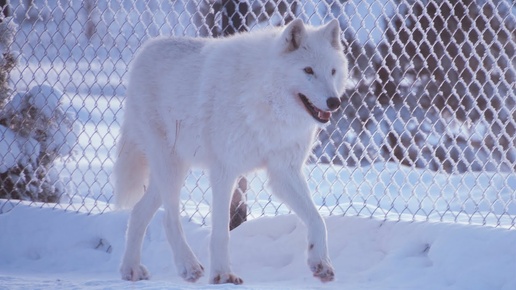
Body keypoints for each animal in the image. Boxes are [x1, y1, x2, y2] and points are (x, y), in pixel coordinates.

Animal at [115, 18, 348, 284]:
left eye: (333, 71)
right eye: (308, 70)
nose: (334, 102)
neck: (265, 102)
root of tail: (145, 49)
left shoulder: (284, 173)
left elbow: (318, 220)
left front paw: (321, 264)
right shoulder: (224, 171)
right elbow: (221, 231)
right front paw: (223, 274)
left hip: (172, 170)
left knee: (138, 213)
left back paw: (131, 270)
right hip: (170, 166)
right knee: (169, 219)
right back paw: (189, 266)